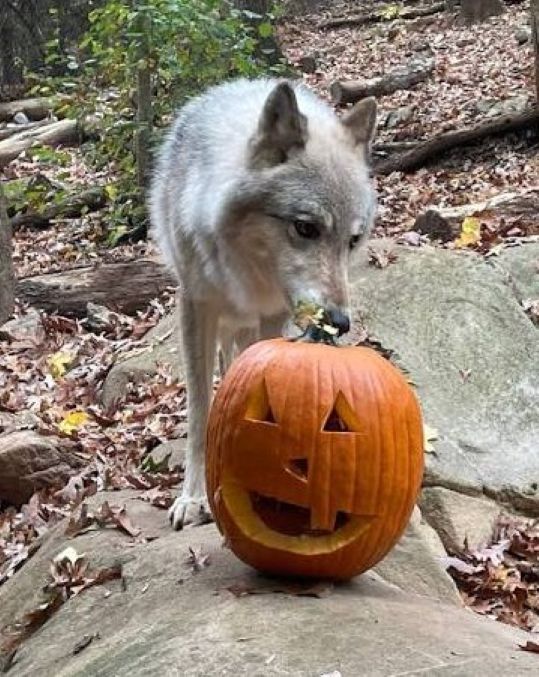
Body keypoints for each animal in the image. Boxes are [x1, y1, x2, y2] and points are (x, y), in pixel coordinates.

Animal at [149, 77, 377, 530]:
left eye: (353, 240)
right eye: (305, 228)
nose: (339, 321)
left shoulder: (272, 315)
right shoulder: (196, 305)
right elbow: (199, 410)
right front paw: (192, 497)